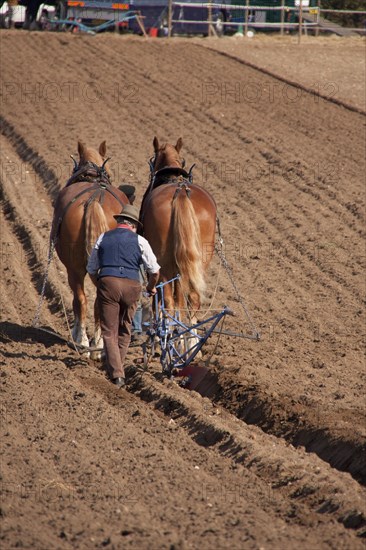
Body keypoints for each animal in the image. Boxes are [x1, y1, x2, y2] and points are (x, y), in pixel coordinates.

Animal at [50, 141, 129, 350]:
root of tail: (94, 201)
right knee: (94, 301)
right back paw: (97, 343)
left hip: (73, 268)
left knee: (81, 299)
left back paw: (84, 341)